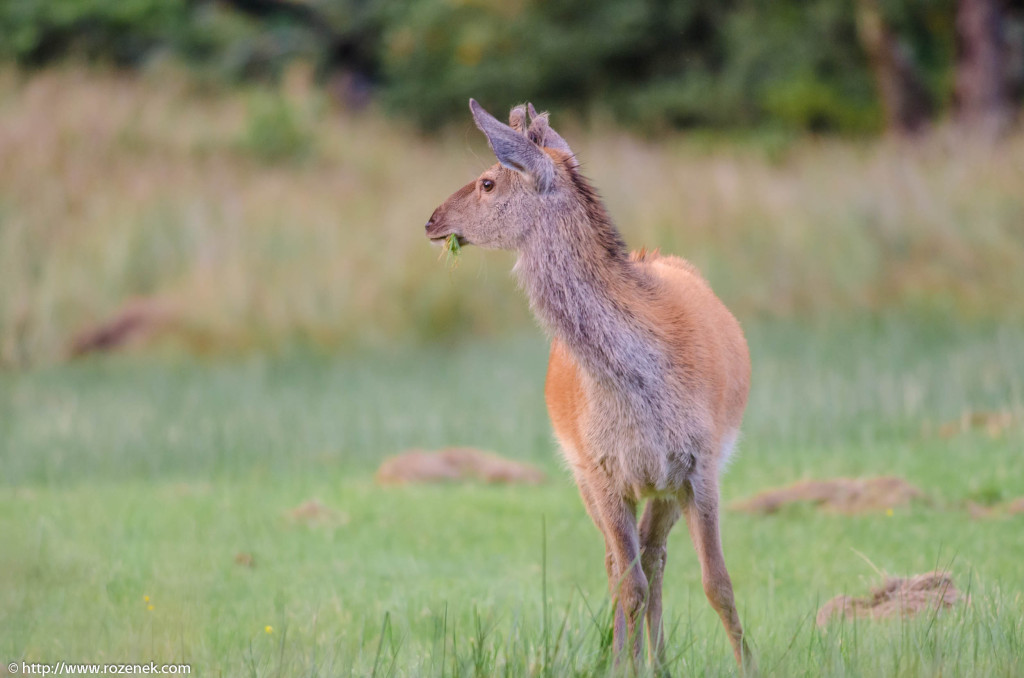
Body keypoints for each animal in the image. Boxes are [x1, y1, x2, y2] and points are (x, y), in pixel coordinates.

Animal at [423, 99, 753, 675]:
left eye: (488, 181)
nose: (432, 220)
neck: (641, 387)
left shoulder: (702, 461)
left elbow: (718, 584)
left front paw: (749, 662)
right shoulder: (601, 469)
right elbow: (629, 584)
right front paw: (623, 665)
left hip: (664, 485)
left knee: (654, 556)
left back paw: (659, 662)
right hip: (583, 474)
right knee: (623, 565)